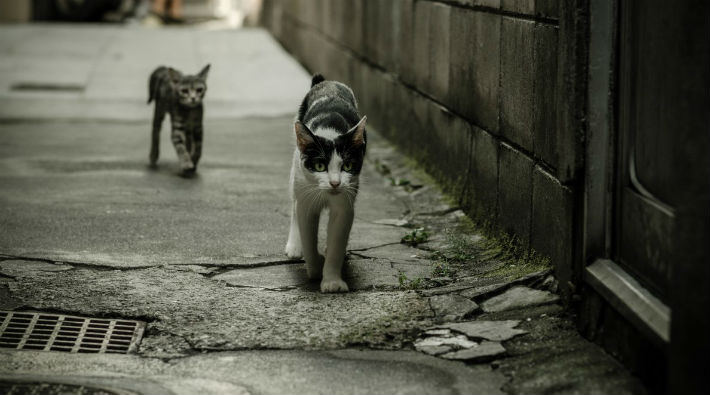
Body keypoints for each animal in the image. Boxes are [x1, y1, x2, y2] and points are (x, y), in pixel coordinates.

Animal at [286, 75, 370, 294]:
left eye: (347, 165)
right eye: (319, 166)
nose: (334, 183)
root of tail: (326, 82)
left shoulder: (344, 206)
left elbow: (336, 243)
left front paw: (332, 281)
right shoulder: (306, 202)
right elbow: (308, 236)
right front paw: (315, 269)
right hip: (296, 172)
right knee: (294, 205)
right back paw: (294, 246)